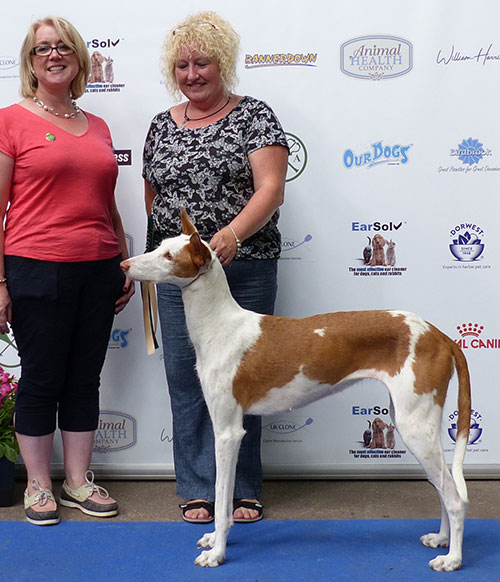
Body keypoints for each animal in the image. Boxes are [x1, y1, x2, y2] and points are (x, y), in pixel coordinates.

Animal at [122, 211, 472, 576]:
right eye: (161, 245)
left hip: (414, 427)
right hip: (420, 423)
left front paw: (217, 552)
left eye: (167, 256)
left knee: (456, 498)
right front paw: (216, 540)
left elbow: (221, 498)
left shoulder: (228, 432)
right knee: (445, 487)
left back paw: (453, 558)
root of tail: (440, 335)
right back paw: (442, 539)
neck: (220, 325)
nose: (123, 264)